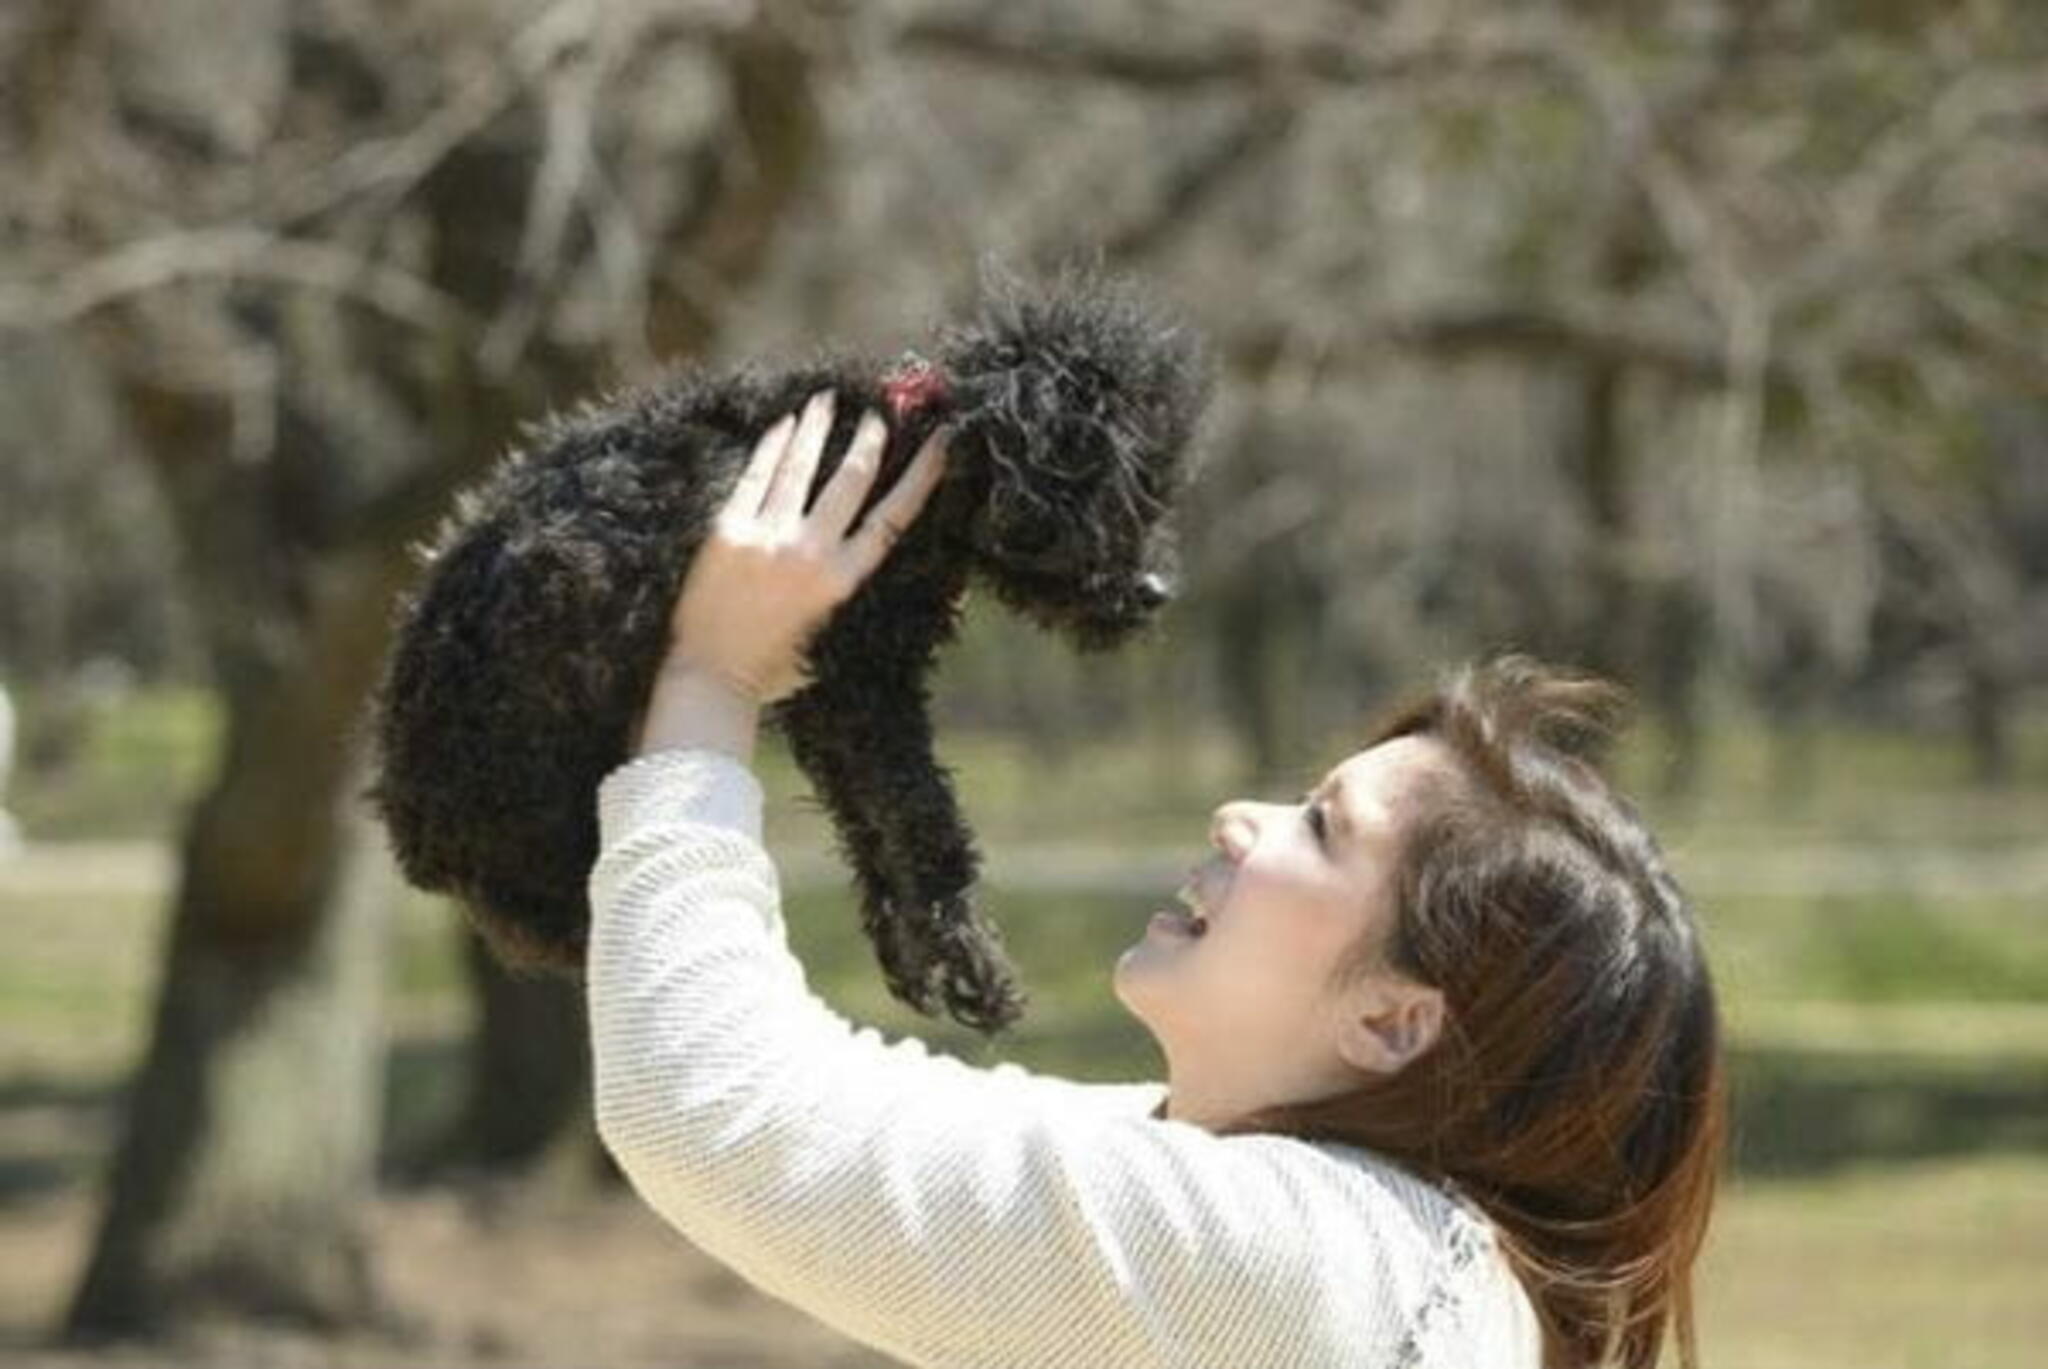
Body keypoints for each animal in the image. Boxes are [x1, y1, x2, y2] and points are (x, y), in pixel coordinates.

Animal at [360, 266, 1212, 1032]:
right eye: (1122, 492)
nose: (1159, 590)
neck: (917, 449)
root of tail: (406, 819)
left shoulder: (831, 697)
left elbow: (869, 825)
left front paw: (911, 960)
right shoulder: (861, 683)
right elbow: (922, 818)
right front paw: (970, 964)